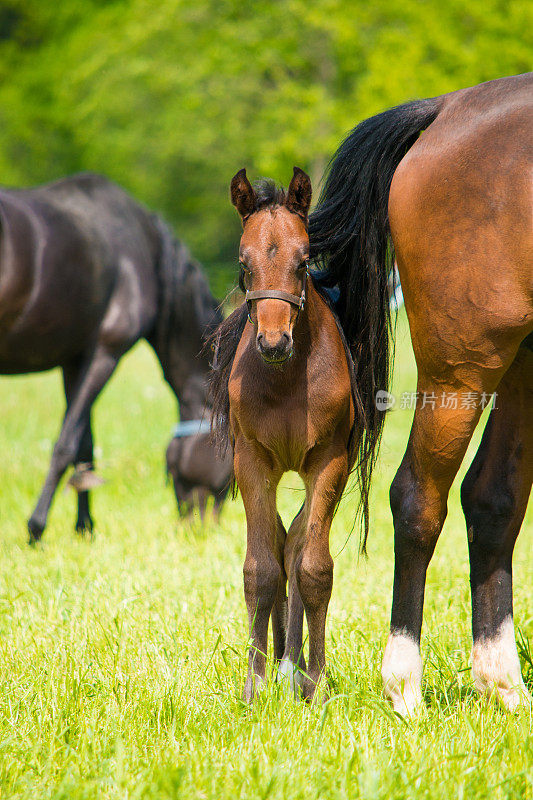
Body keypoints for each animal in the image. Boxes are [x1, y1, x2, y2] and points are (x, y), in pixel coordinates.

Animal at [0, 172, 228, 540]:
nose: (204, 527)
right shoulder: (106, 353)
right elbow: (66, 444)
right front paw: (36, 528)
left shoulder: (75, 360)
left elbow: (84, 445)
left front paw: (84, 527)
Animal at [210, 167, 376, 700]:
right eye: (244, 263)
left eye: (304, 262)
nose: (273, 341)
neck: (285, 381)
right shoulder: (252, 461)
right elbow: (260, 570)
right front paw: (254, 684)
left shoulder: (328, 461)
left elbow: (314, 568)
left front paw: (316, 683)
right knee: (283, 545)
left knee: (299, 545)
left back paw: (297, 666)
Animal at [310, 72, 528, 716]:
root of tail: (447, 109)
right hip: (464, 367)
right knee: (417, 499)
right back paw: (404, 685)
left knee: (494, 499)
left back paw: (504, 687)